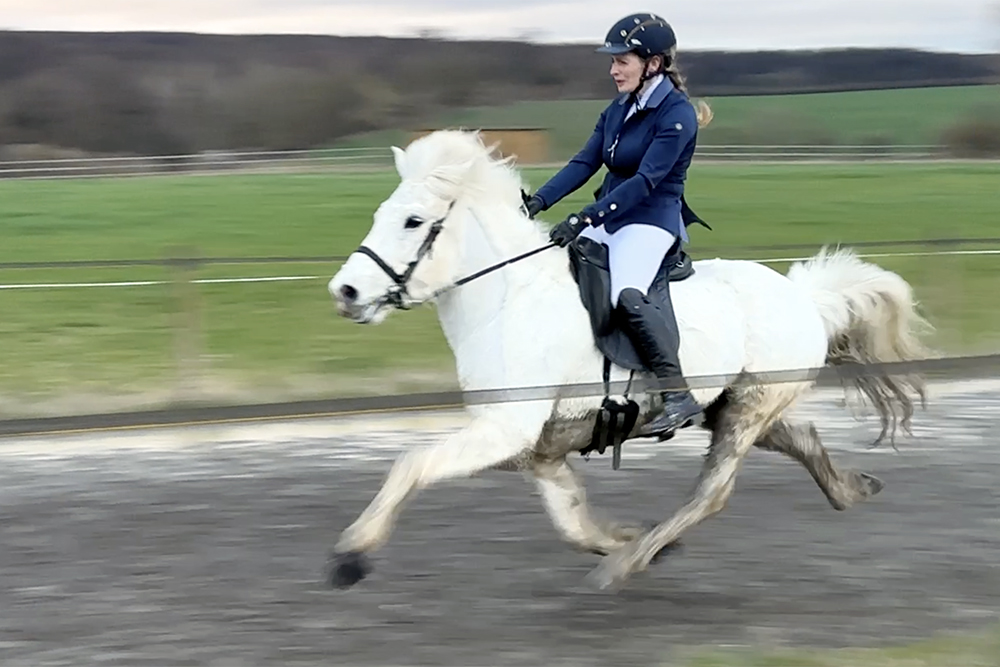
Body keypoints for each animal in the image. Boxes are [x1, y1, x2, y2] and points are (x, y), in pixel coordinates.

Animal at [326, 128, 928, 592]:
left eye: (412, 221)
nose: (346, 292)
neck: (508, 300)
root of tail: (805, 296)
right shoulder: (536, 447)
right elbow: (570, 520)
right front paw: (623, 536)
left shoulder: (504, 431)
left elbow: (411, 465)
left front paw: (350, 556)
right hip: (731, 404)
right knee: (799, 438)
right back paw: (851, 488)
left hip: (748, 409)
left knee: (712, 494)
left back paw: (626, 566)